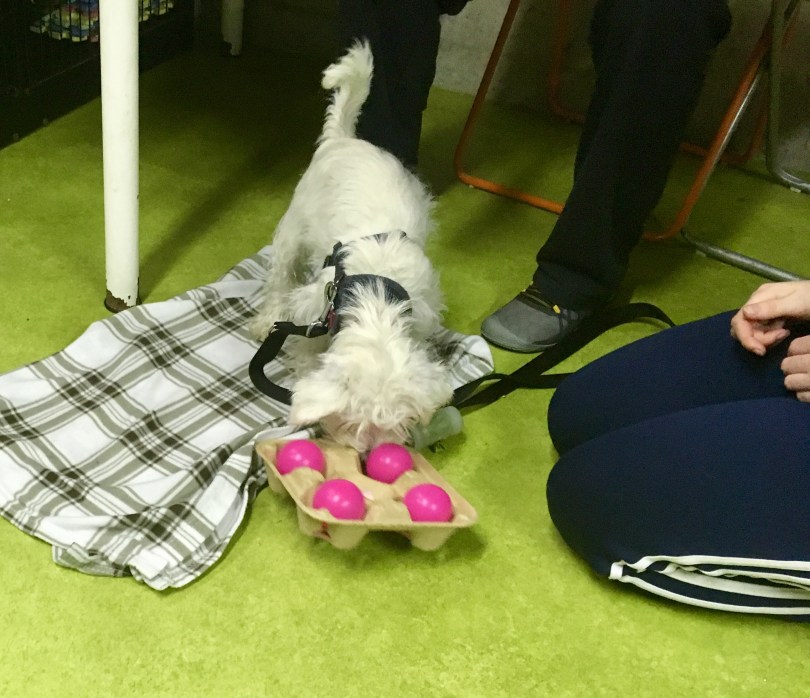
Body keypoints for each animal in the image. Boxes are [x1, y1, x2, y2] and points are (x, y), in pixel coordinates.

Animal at [250, 41, 454, 452]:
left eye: (398, 422)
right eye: (350, 422)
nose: (371, 455)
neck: (377, 295)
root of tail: (342, 138)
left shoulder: (422, 313)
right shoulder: (315, 308)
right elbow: (308, 351)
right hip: (294, 229)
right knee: (280, 277)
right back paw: (266, 320)